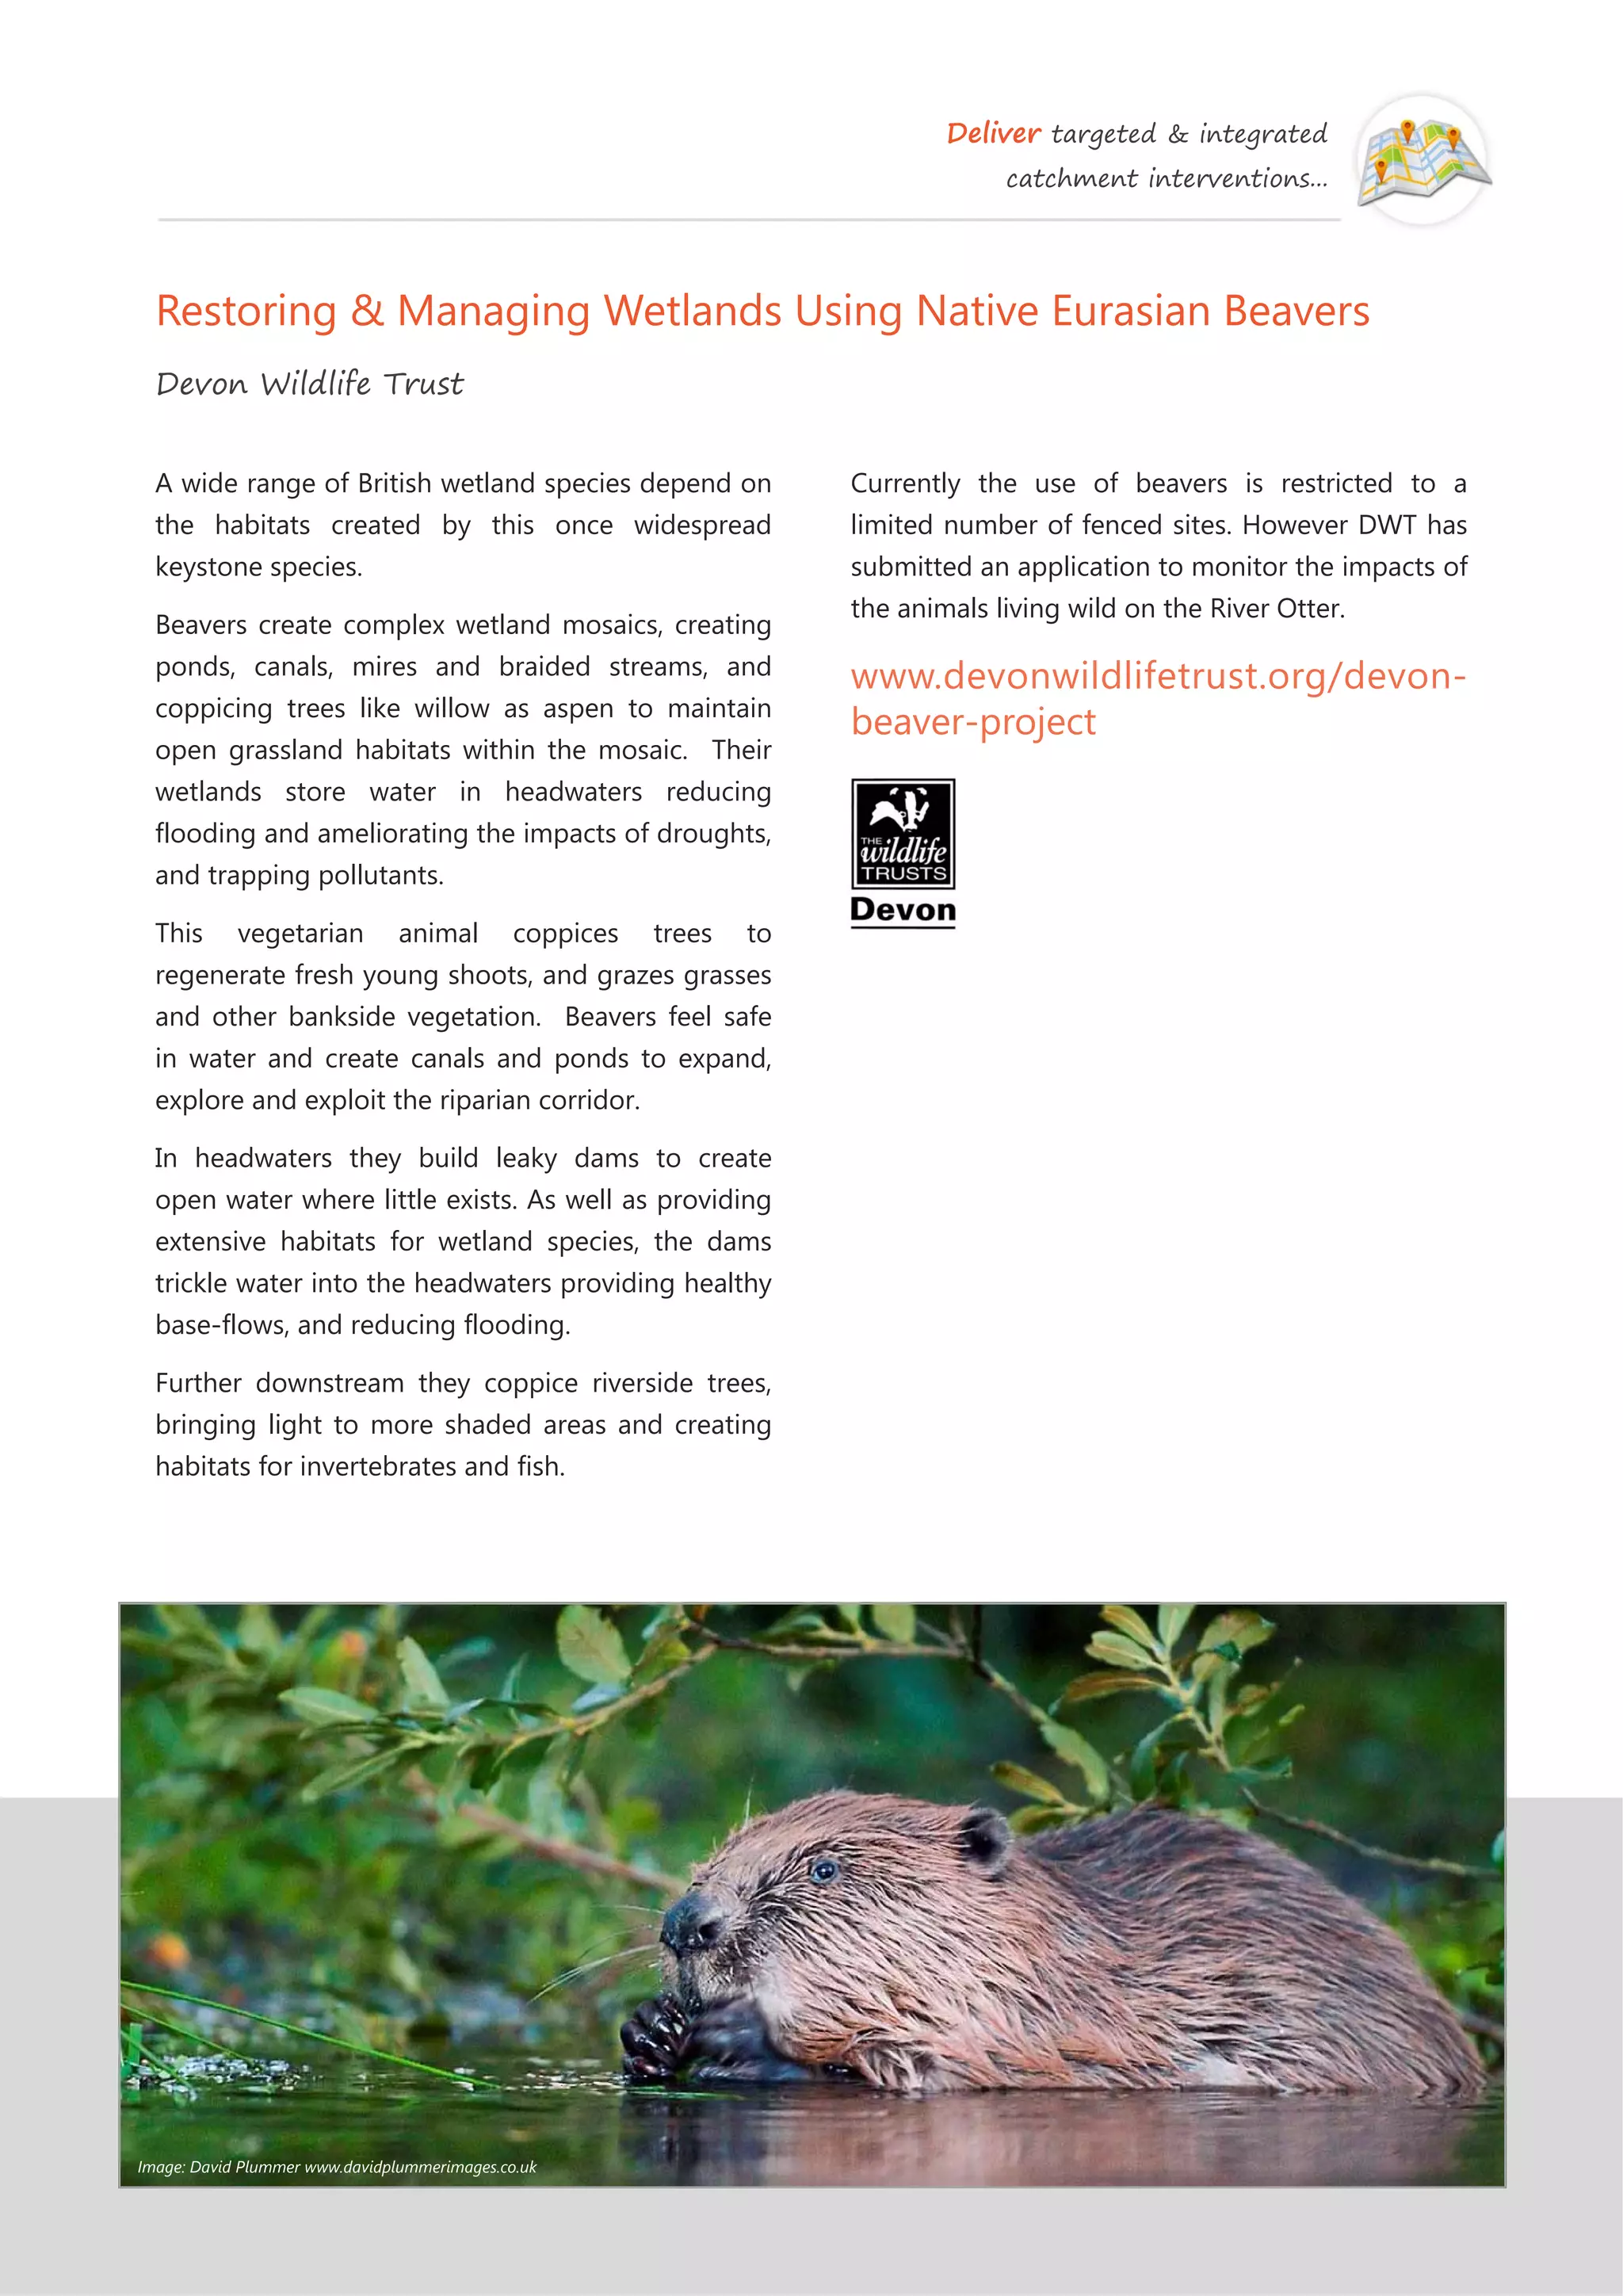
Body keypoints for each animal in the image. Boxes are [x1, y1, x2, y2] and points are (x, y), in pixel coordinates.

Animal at [620, 1792, 1484, 2096]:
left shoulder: (1059, 2023)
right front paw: (649, 2030)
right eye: (702, 1866)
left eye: (824, 1867)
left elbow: (960, 2065)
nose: (686, 1922)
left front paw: (738, 2034)